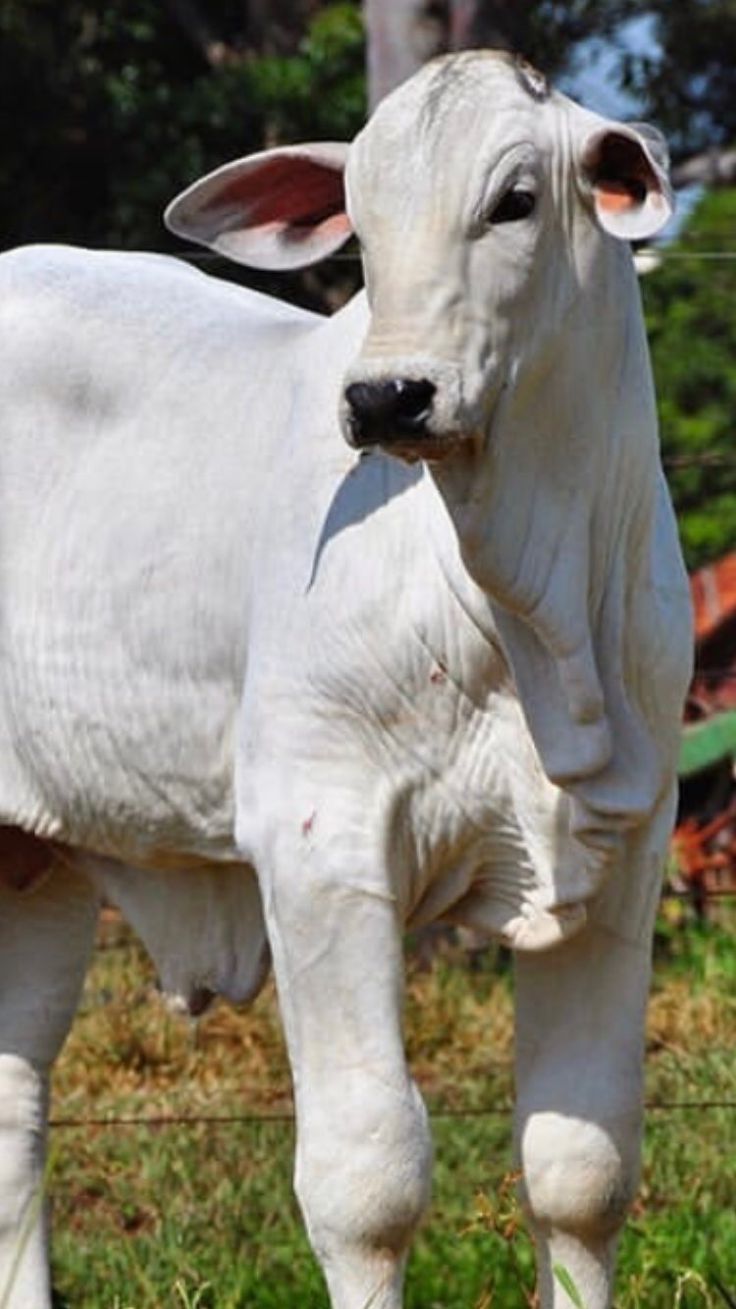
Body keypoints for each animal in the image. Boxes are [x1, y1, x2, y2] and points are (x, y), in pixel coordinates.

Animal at [0, 50, 692, 1309]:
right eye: (359, 226)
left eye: (514, 201)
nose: (385, 398)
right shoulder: (320, 842)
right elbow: (366, 1181)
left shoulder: (624, 849)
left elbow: (582, 1169)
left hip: (38, 859)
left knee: (14, 1103)